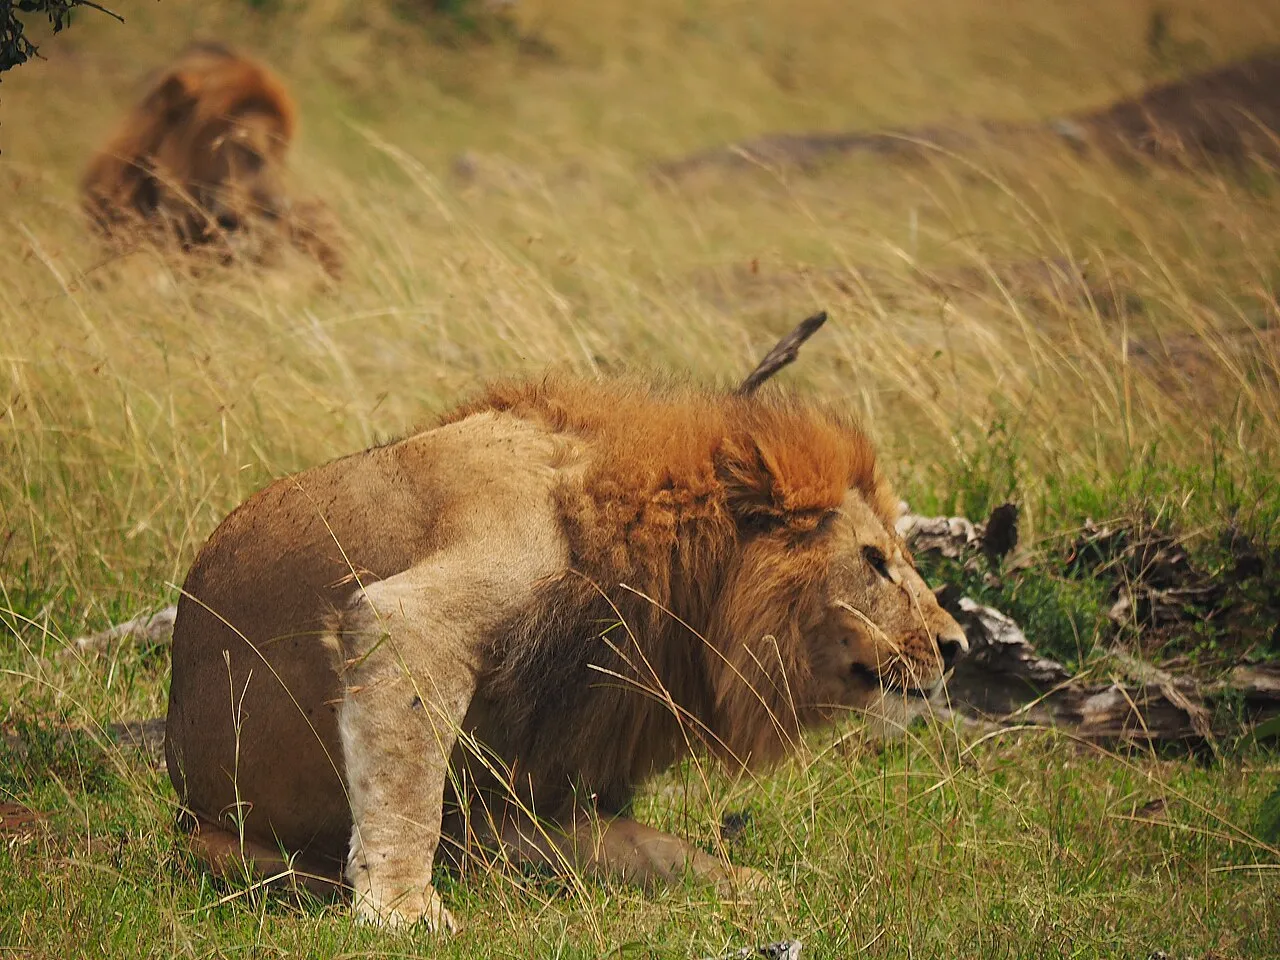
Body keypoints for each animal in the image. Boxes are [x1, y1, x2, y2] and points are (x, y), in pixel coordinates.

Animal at [164, 375, 968, 930]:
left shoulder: (535, 791)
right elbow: (406, 786)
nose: (957, 646)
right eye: (874, 561)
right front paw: (402, 910)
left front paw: (758, 884)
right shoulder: (419, 611)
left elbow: (648, 847)